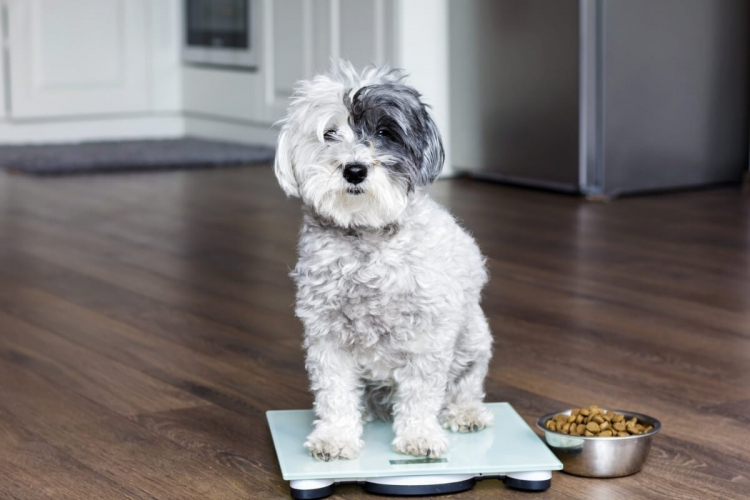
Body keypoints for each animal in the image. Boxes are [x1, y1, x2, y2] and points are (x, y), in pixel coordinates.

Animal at [274, 62, 494, 460]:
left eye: (383, 132)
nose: (354, 169)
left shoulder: (428, 336)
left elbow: (422, 393)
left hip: (473, 340)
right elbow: (334, 392)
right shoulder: (327, 336)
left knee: (465, 385)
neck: (366, 237)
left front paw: (419, 435)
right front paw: (336, 436)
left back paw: (466, 412)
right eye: (329, 134)